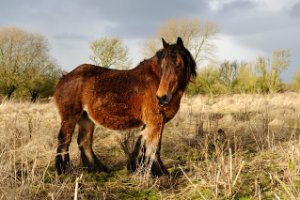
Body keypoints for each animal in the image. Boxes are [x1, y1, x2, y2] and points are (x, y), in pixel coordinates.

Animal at [54, 36, 197, 176]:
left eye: (178, 65)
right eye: (163, 66)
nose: (162, 97)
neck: (155, 80)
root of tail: (64, 78)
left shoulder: (151, 122)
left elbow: (142, 144)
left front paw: (136, 168)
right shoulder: (156, 121)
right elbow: (154, 147)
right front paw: (159, 173)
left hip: (86, 119)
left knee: (84, 142)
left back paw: (97, 170)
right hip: (70, 118)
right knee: (64, 141)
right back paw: (64, 171)